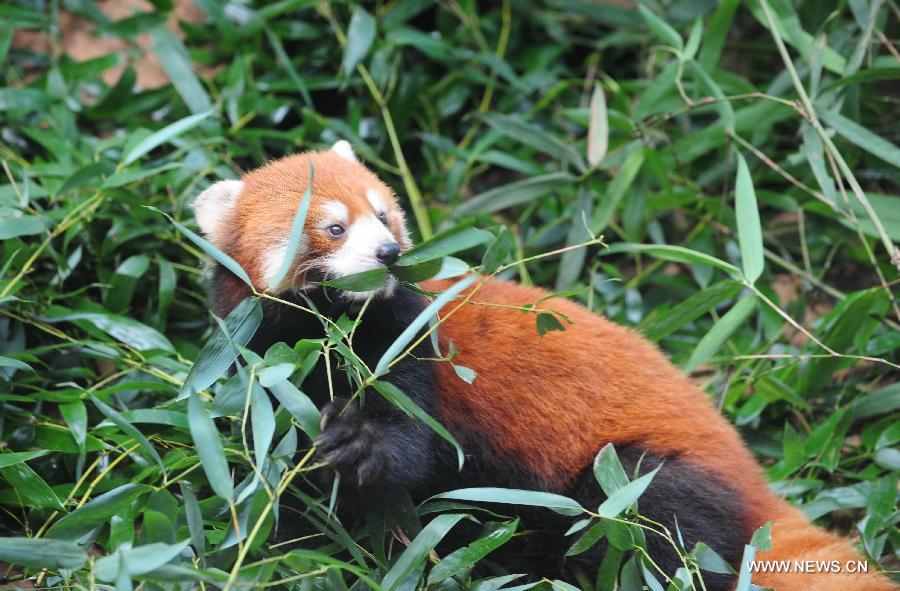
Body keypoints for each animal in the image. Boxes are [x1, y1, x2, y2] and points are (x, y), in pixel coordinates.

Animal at [190, 142, 892, 591]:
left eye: (384, 214)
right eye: (334, 228)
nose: (388, 252)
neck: (332, 336)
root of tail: (751, 473)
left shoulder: (412, 346)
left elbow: (415, 446)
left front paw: (358, 441)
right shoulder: (263, 367)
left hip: (637, 475)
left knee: (663, 532)